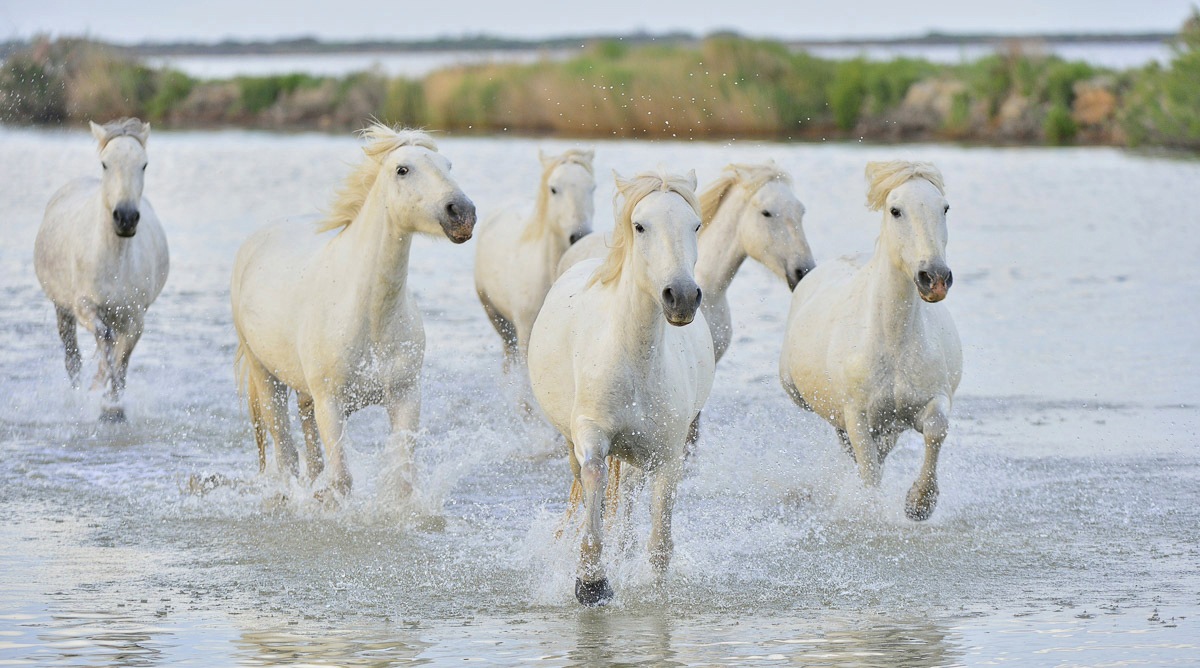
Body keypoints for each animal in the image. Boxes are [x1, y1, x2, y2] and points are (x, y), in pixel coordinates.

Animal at [33, 118, 169, 422]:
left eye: (144, 164)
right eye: (105, 164)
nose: (126, 218)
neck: (114, 260)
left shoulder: (134, 317)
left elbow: (122, 356)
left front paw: (113, 405)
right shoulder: (83, 306)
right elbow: (105, 341)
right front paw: (99, 395)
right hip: (62, 309)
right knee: (73, 357)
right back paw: (77, 396)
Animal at [230, 125, 476, 498]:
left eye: (448, 165)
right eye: (402, 169)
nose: (462, 213)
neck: (370, 317)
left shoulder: (405, 396)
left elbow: (402, 479)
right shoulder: (331, 405)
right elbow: (342, 480)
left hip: (304, 391)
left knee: (310, 452)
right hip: (265, 376)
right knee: (286, 454)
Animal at [528, 169, 714, 606]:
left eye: (696, 225)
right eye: (640, 225)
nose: (682, 296)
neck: (635, 360)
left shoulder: (668, 454)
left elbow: (660, 541)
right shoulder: (591, 434)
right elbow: (594, 480)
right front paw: (591, 583)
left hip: (639, 454)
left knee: (629, 494)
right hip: (574, 444)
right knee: (589, 487)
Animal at [779, 161, 962, 521]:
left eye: (945, 208)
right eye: (896, 210)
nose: (934, 278)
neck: (893, 342)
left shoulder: (933, 398)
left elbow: (936, 428)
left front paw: (919, 504)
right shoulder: (857, 416)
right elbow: (869, 472)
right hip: (797, 392)